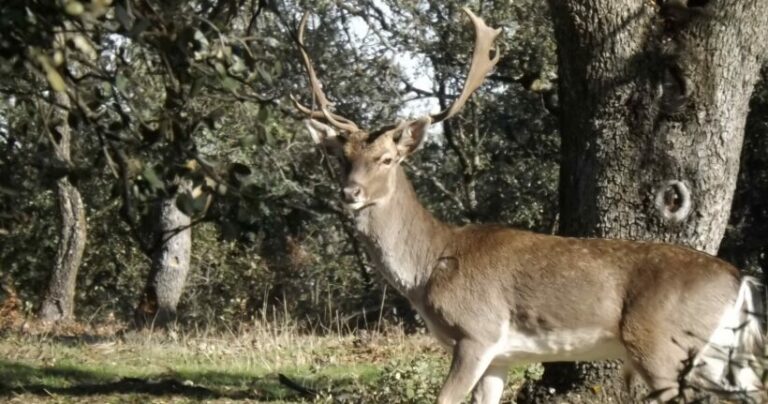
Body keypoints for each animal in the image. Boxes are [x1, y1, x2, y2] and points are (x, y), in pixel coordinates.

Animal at [292, 7, 764, 404]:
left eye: (388, 159)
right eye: (340, 157)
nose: (350, 193)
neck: (429, 267)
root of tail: (738, 280)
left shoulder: (476, 332)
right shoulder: (501, 357)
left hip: (662, 343)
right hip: (719, 353)